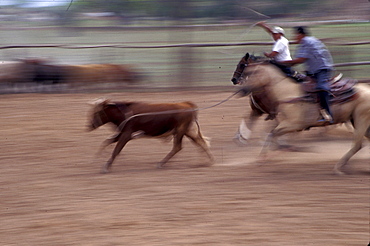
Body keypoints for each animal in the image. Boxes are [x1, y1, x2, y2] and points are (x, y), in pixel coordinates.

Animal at [236, 61, 368, 174]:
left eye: (249, 73)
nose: (241, 89)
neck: (288, 92)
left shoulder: (294, 124)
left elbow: (272, 134)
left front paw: (264, 157)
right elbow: (272, 134)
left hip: (361, 120)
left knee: (357, 145)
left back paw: (338, 168)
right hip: (358, 122)